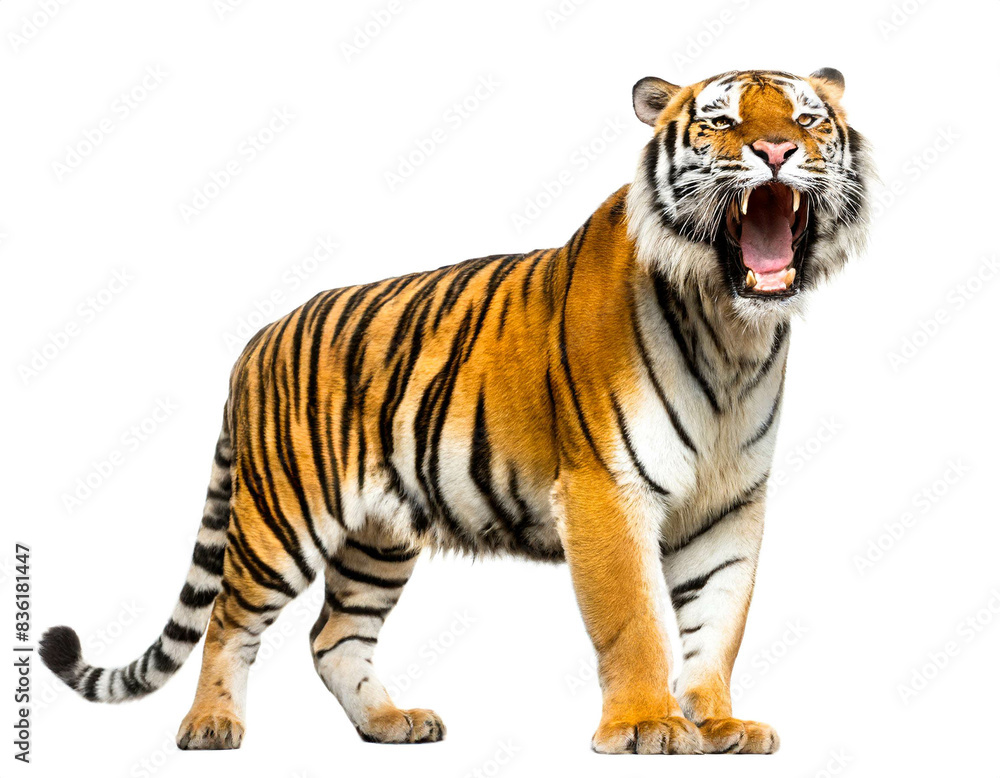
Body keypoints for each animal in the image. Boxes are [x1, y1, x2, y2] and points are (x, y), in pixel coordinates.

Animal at [40, 67, 872, 755]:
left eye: (807, 117)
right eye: (722, 121)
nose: (775, 150)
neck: (732, 329)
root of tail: (259, 338)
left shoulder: (731, 505)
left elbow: (718, 625)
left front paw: (720, 723)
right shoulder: (607, 491)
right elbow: (635, 620)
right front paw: (646, 726)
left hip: (377, 537)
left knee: (335, 636)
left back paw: (390, 723)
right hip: (282, 516)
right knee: (228, 618)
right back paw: (211, 724)